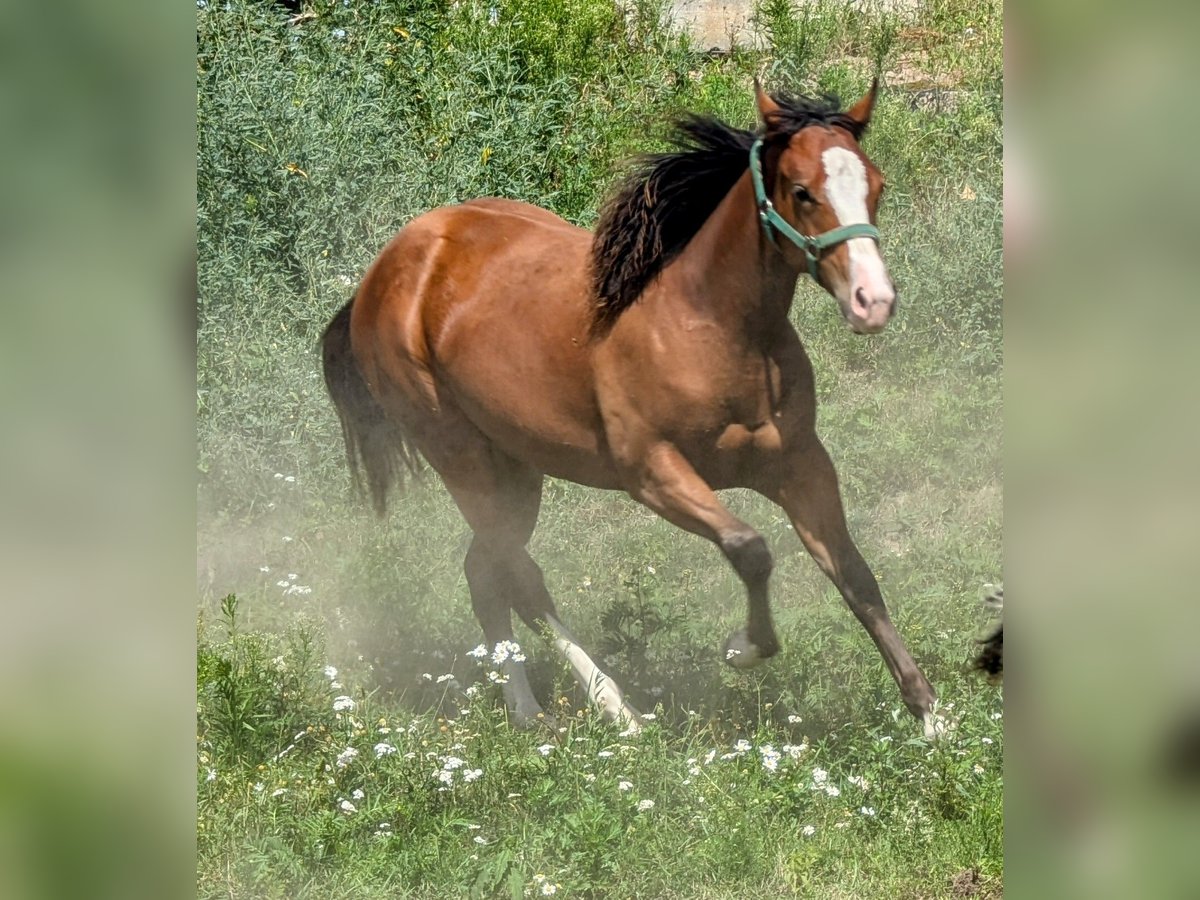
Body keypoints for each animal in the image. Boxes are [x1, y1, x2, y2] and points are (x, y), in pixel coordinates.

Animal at [324, 79, 940, 739]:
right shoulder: (653, 474)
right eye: (802, 192)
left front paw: (931, 715)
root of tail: (381, 273)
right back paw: (605, 709)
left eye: (876, 185)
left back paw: (535, 706)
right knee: (517, 575)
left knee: (485, 571)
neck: (711, 327)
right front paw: (743, 647)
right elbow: (750, 549)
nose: (874, 301)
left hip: (517, 469)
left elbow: (854, 575)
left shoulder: (801, 464)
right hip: (464, 460)